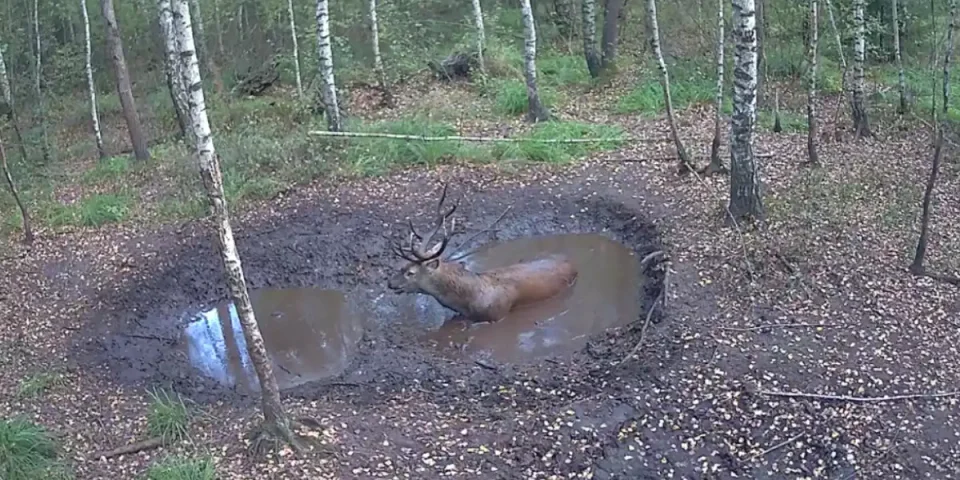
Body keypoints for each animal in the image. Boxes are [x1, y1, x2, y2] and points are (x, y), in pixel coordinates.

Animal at [386, 184, 579, 324]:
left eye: (410, 272)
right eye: (402, 266)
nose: (390, 283)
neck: (469, 302)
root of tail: (570, 260)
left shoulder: (496, 316)